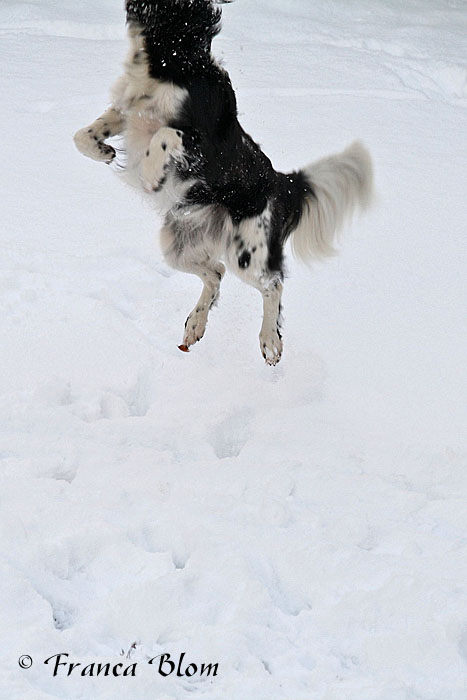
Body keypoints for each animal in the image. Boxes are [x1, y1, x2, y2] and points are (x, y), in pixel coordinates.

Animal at [73, 1, 372, 366]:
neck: (173, 56)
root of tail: (281, 183)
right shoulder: (126, 111)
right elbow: (83, 135)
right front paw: (104, 151)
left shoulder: (198, 141)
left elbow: (163, 136)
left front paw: (152, 174)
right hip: (177, 245)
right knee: (216, 272)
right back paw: (195, 324)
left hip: (247, 251)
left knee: (272, 284)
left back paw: (270, 342)